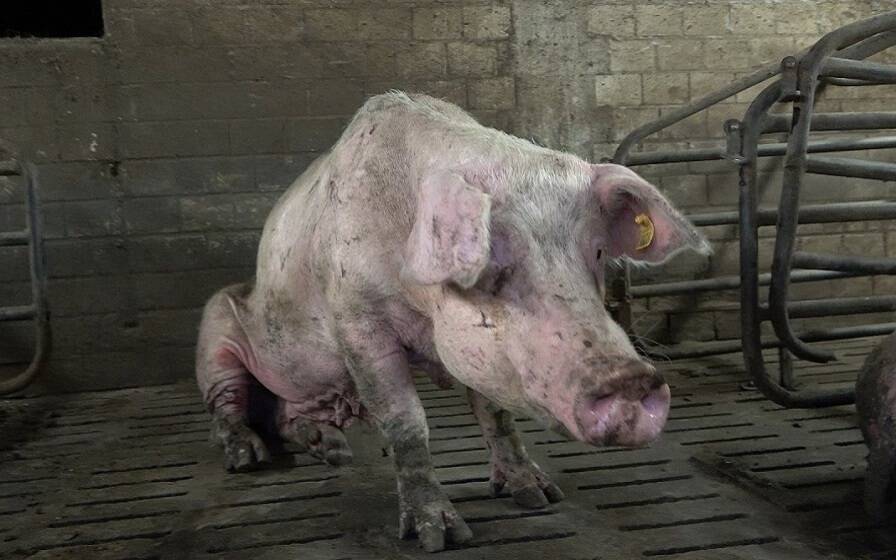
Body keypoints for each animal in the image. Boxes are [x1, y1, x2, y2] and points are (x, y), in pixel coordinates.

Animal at [195, 92, 709, 552]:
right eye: (488, 264)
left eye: (599, 253)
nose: (631, 379)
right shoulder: (357, 322)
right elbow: (406, 422)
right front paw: (439, 536)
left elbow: (496, 413)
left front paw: (539, 496)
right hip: (215, 334)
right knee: (229, 406)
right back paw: (248, 459)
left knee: (287, 416)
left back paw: (334, 450)